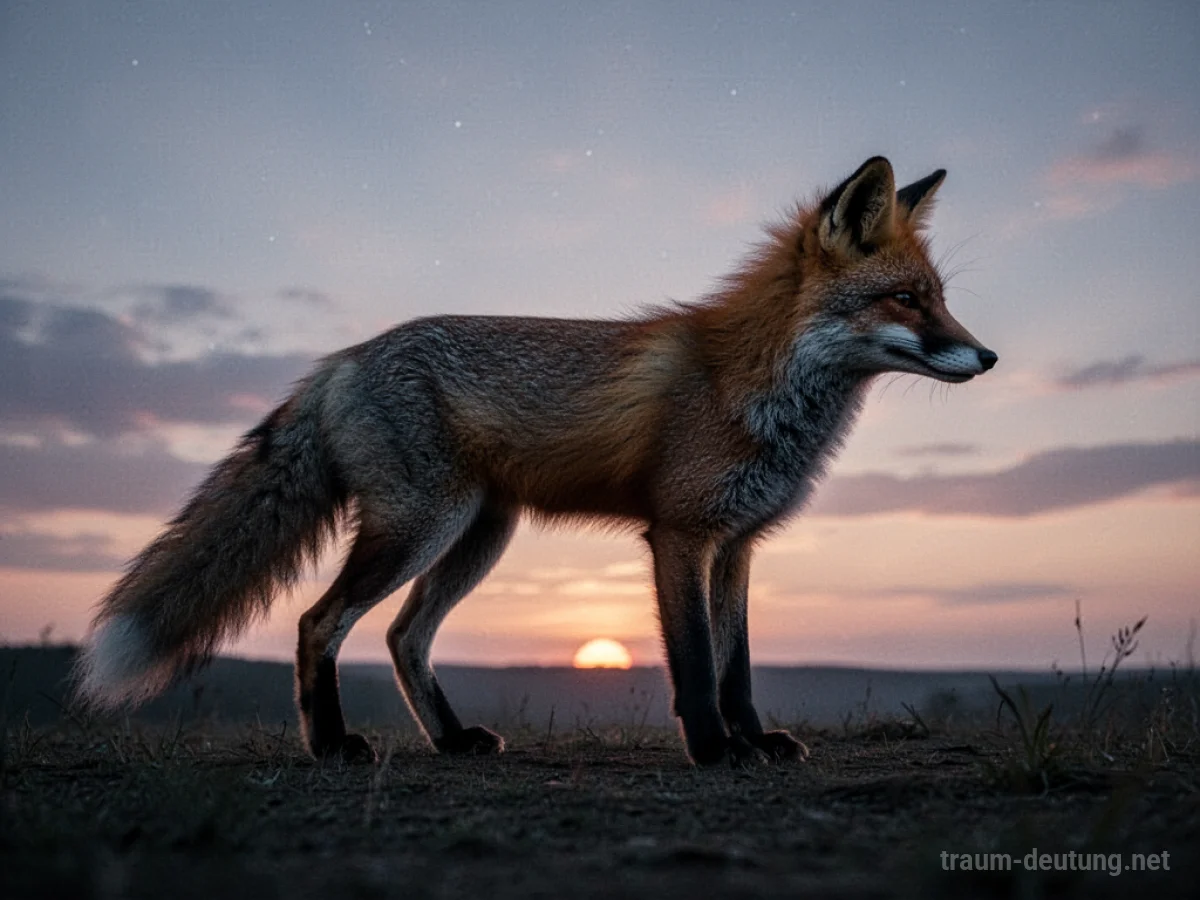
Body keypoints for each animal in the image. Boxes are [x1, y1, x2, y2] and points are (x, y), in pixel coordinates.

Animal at [75, 157, 996, 765]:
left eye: (941, 298)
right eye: (905, 300)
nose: (988, 357)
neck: (759, 383)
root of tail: (343, 357)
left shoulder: (737, 544)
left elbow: (737, 668)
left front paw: (755, 740)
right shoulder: (678, 535)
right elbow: (696, 663)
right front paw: (711, 750)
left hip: (480, 536)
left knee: (404, 636)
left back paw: (451, 741)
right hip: (418, 527)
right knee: (318, 623)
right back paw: (333, 746)